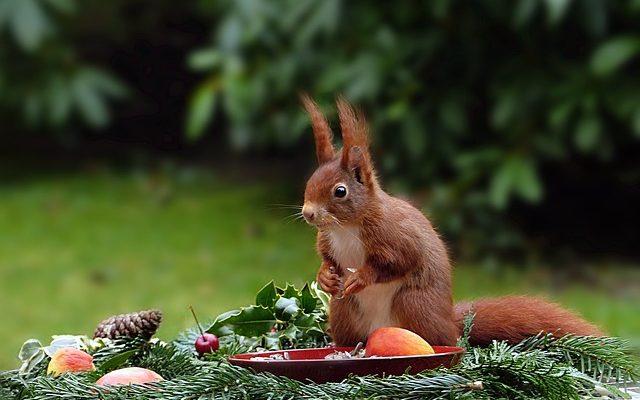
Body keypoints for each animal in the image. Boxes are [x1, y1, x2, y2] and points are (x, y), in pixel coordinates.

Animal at [298, 97, 600, 346]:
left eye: (340, 191)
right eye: (310, 182)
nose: (308, 213)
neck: (346, 227)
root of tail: (450, 323)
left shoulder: (394, 234)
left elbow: (400, 259)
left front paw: (361, 276)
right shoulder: (327, 240)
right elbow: (327, 258)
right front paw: (325, 276)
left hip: (414, 303)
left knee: (442, 338)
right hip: (343, 310)